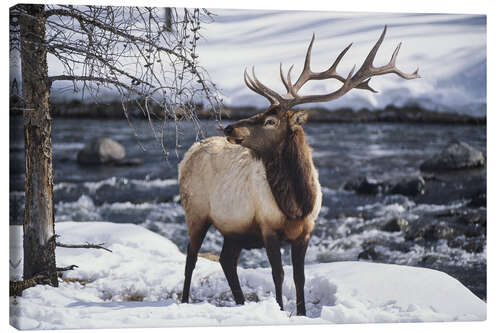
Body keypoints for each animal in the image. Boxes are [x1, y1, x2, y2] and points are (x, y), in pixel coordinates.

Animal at [178, 26, 420, 314]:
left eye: (270, 120)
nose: (229, 127)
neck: (297, 204)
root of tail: (189, 153)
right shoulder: (267, 227)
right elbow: (278, 274)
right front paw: (281, 310)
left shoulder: (305, 230)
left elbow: (299, 276)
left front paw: (302, 312)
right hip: (196, 212)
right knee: (191, 257)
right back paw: (184, 300)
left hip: (234, 229)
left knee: (226, 260)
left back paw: (240, 302)